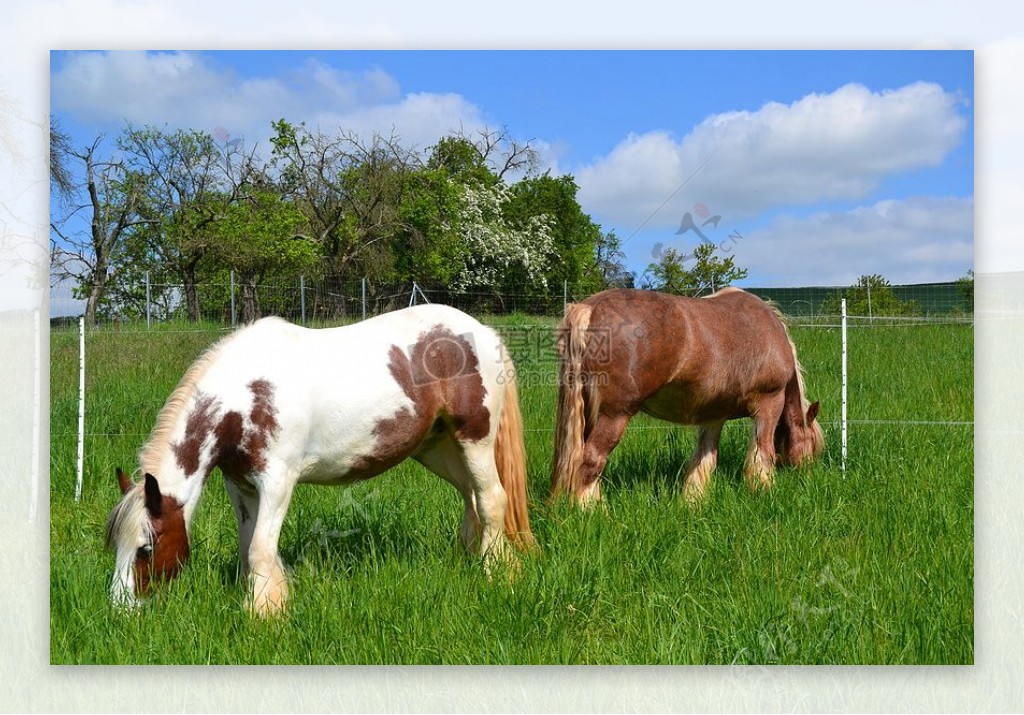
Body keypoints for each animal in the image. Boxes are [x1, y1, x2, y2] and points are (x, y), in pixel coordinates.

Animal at [107, 303, 532, 614]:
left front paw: (263, 615)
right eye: (115, 546)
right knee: (472, 500)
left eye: (146, 548)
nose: (121, 611)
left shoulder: (278, 481)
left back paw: (496, 574)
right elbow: (249, 547)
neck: (244, 397)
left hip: (474, 440)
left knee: (492, 499)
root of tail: (483, 333)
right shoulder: (240, 485)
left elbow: (260, 550)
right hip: (438, 449)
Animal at [552, 286, 823, 503]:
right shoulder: (769, 403)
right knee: (591, 460)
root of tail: (590, 308)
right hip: (615, 415)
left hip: (587, 415)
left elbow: (704, 459)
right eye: (812, 444)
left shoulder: (715, 416)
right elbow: (762, 452)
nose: (809, 477)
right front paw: (764, 491)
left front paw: (692, 500)